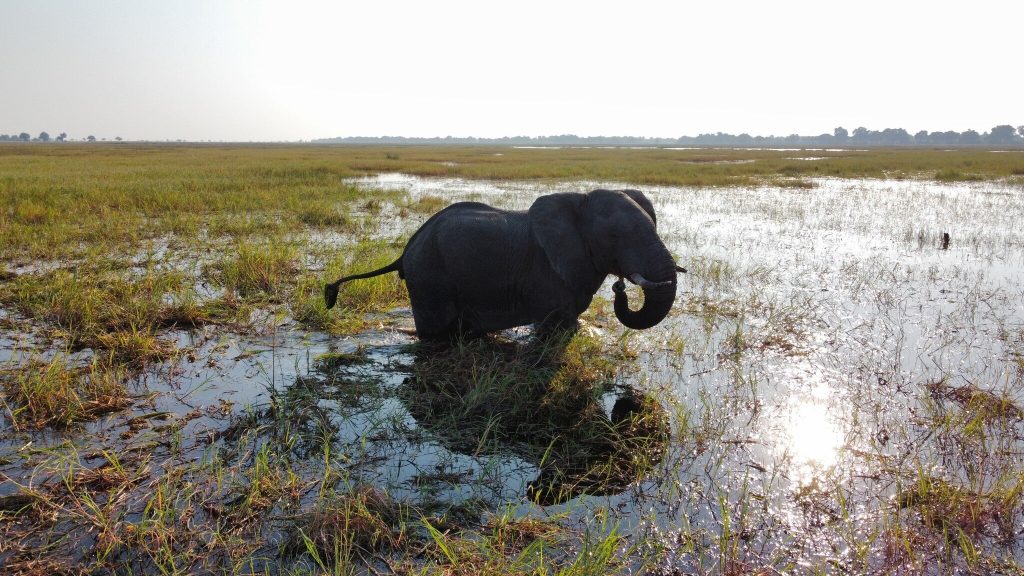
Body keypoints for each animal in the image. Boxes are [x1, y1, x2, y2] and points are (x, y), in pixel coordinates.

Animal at [325, 188, 683, 339]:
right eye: (613, 237)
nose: (619, 285)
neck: (579, 200)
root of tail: (406, 249)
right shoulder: (547, 275)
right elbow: (557, 327)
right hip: (429, 277)